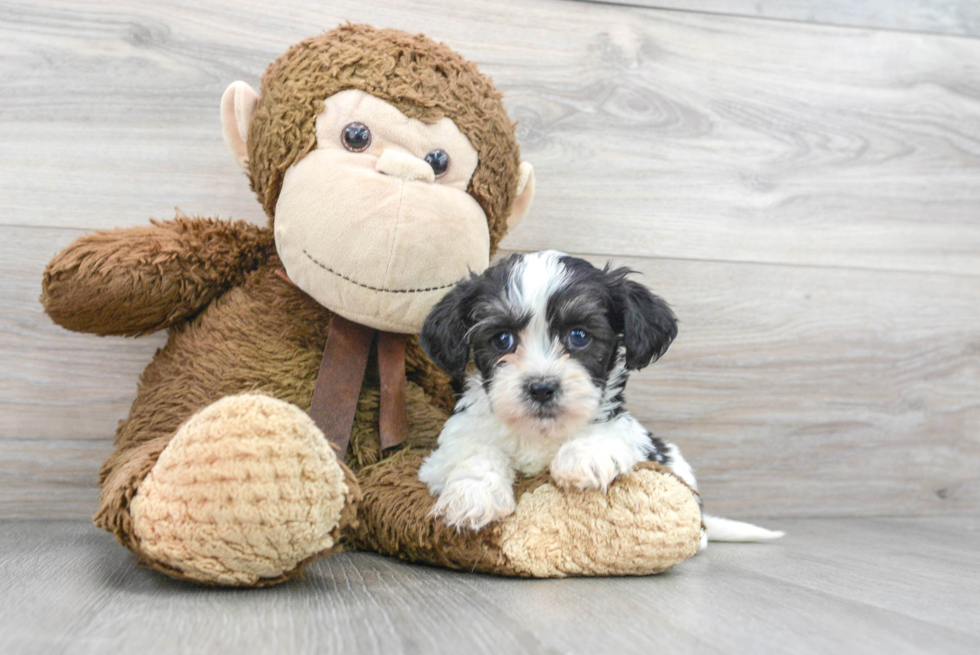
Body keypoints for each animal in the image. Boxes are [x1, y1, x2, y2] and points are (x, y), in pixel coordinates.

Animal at [418, 250, 784, 544]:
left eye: (579, 336)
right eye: (502, 339)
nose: (542, 387)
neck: (541, 434)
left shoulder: (636, 438)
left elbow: (613, 433)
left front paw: (584, 457)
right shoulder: (446, 449)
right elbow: (473, 452)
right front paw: (474, 496)